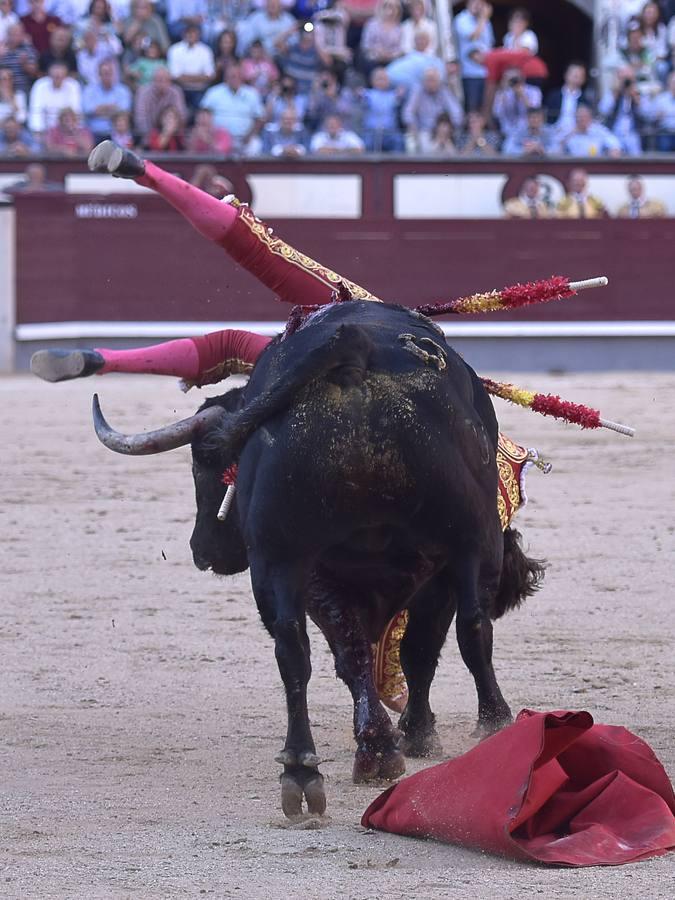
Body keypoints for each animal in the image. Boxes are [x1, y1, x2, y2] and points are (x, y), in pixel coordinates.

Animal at [93, 300, 544, 816]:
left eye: (201, 465)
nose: (200, 550)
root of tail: (354, 348)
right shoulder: (436, 568)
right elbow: (417, 650)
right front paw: (414, 734)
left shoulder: (322, 575)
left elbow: (358, 653)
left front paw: (384, 744)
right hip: (469, 541)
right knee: (471, 627)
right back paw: (494, 723)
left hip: (281, 558)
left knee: (293, 648)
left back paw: (303, 768)